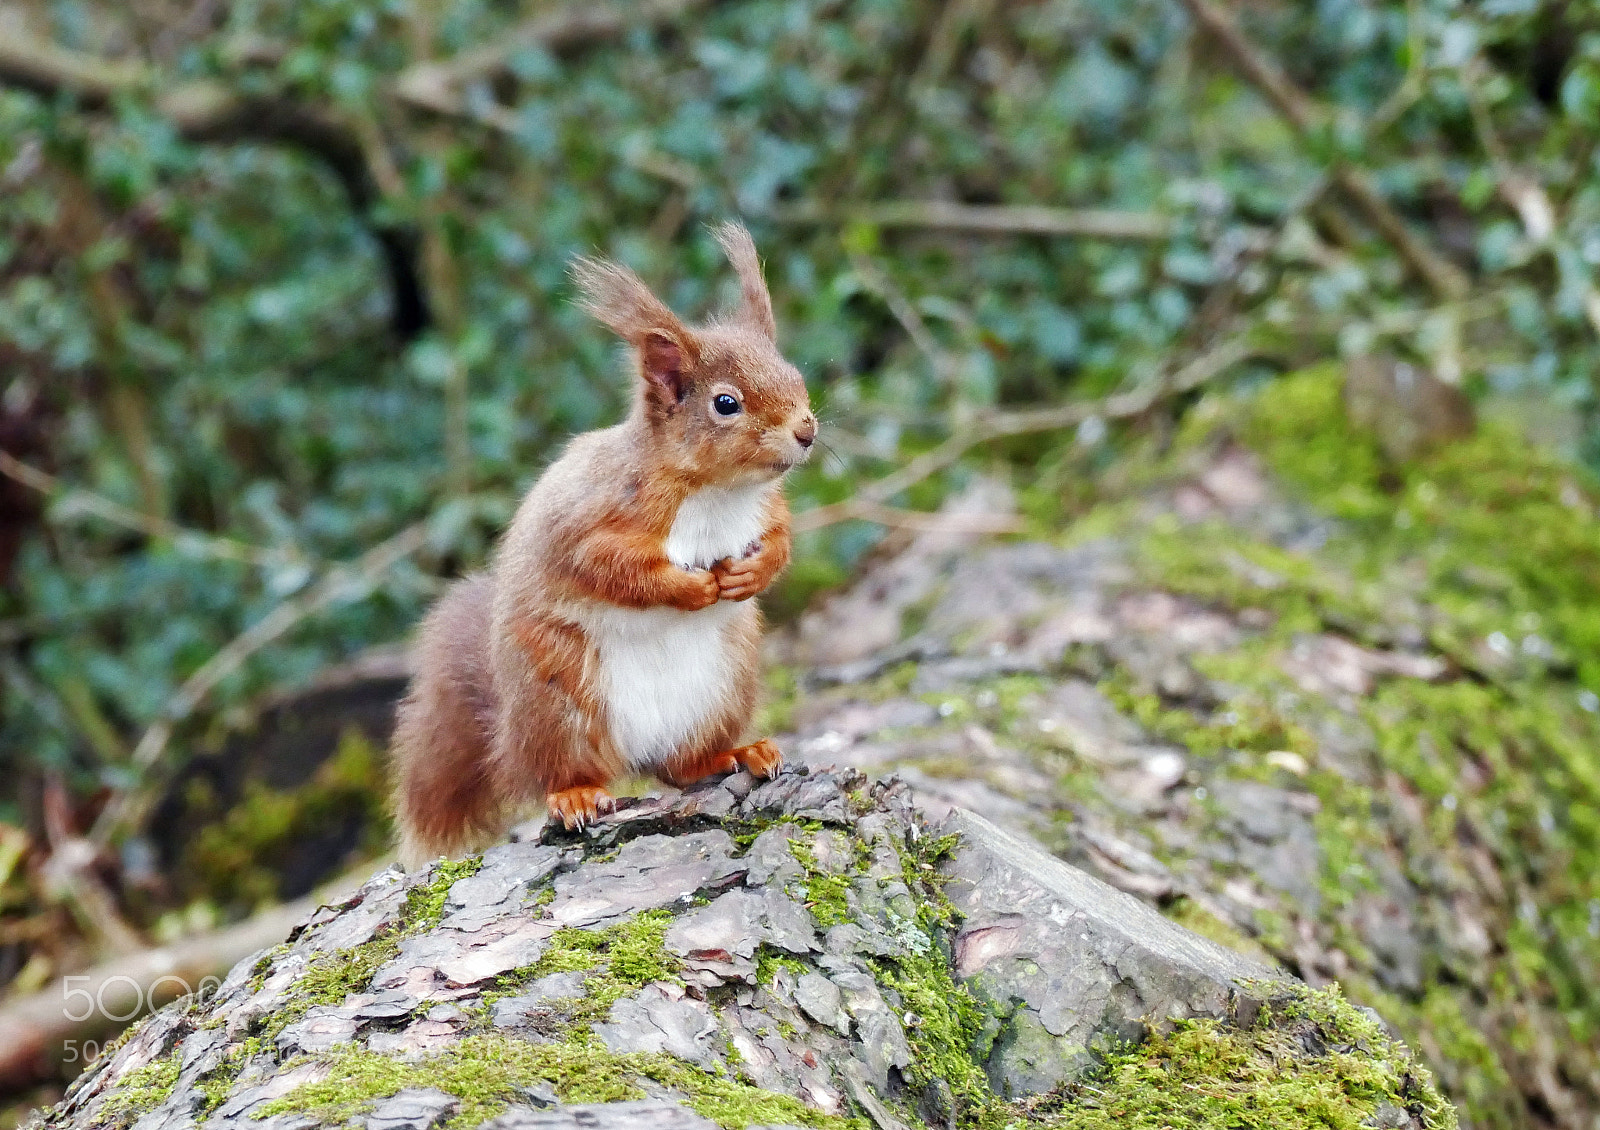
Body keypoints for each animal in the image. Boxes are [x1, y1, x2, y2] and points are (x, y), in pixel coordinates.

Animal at [390, 224, 816, 868]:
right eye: (726, 403)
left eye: (795, 374)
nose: (807, 430)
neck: (716, 492)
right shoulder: (594, 517)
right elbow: (607, 566)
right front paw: (688, 587)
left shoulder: (766, 508)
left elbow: (781, 539)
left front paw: (752, 573)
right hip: (558, 700)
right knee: (562, 772)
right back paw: (578, 796)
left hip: (724, 683)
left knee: (679, 768)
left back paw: (737, 754)